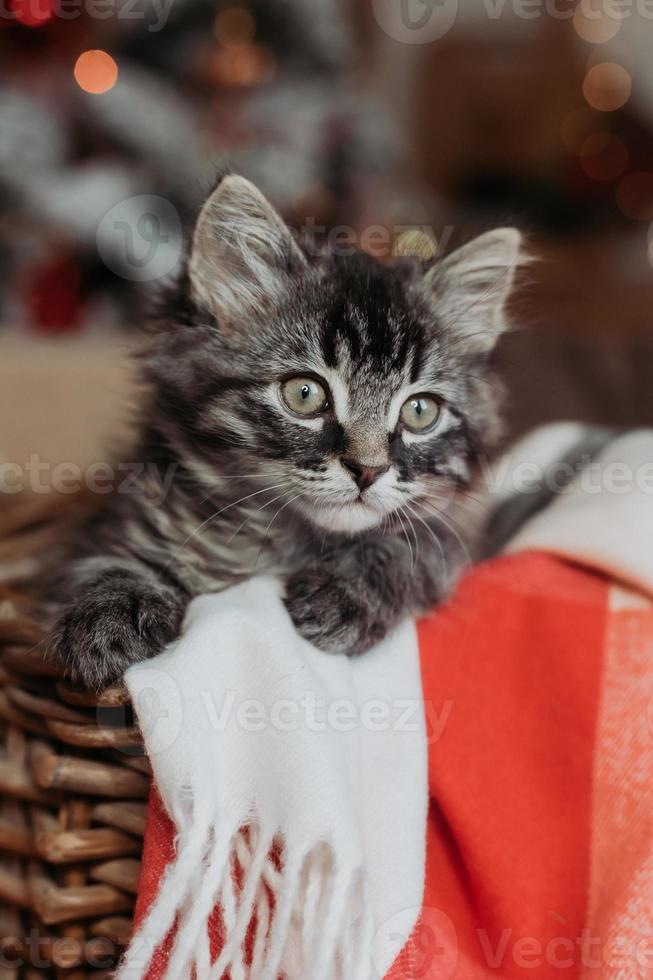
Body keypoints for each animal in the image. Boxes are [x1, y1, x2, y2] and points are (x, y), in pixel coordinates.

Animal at [49, 174, 524, 688]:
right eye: (304, 394)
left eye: (420, 411)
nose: (367, 470)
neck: (277, 540)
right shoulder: (116, 519)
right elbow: (102, 561)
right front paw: (110, 611)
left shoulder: (455, 538)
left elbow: (407, 549)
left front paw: (346, 593)